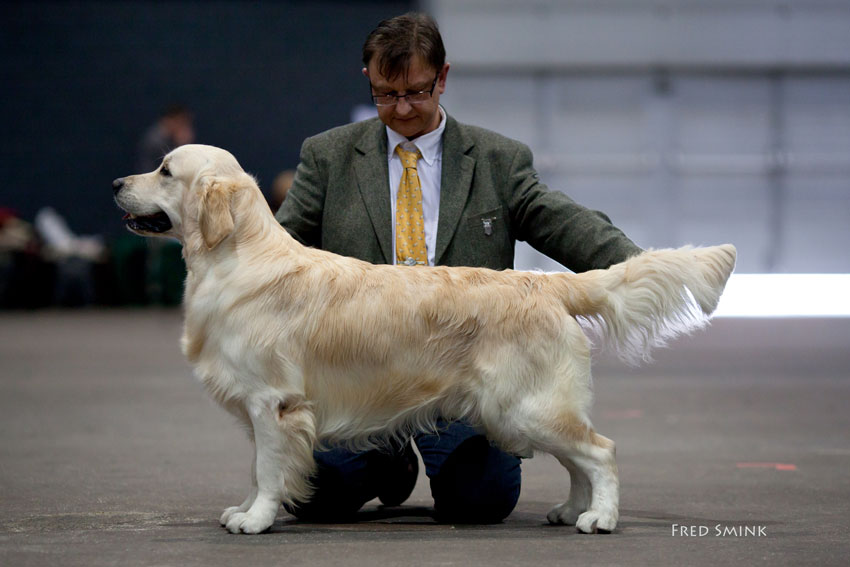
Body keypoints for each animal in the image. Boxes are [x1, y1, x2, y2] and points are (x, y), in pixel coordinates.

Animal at [114, 144, 736, 536]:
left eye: (165, 170)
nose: (117, 182)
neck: (236, 258)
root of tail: (548, 283)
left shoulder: (275, 403)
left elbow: (267, 470)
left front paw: (257, 518)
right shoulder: (260, 407)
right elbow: (254, 469)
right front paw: (243, 508)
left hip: (525, 406)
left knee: (600, 451)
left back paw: (599, 519)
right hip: (528, 409)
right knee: (577, 460)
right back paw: (569, 510)